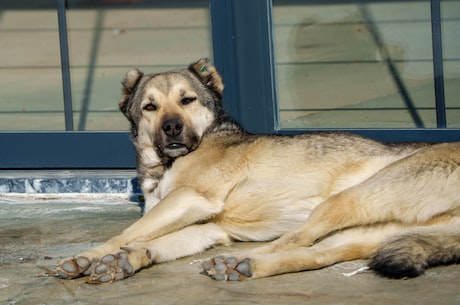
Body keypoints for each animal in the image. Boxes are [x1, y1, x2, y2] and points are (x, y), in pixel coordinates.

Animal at [54, 58, 460, 282]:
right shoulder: (209, 227)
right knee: (317, 254)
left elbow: (129, 232)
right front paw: (126, 261)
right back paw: (243, 266)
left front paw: (91, 256)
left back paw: (241, 260)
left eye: (187, 100)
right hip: (372, 231)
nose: (171, 128)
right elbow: (152, 241)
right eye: (150, 107)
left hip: (350, 199)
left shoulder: (192, 199)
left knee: (294, 240)